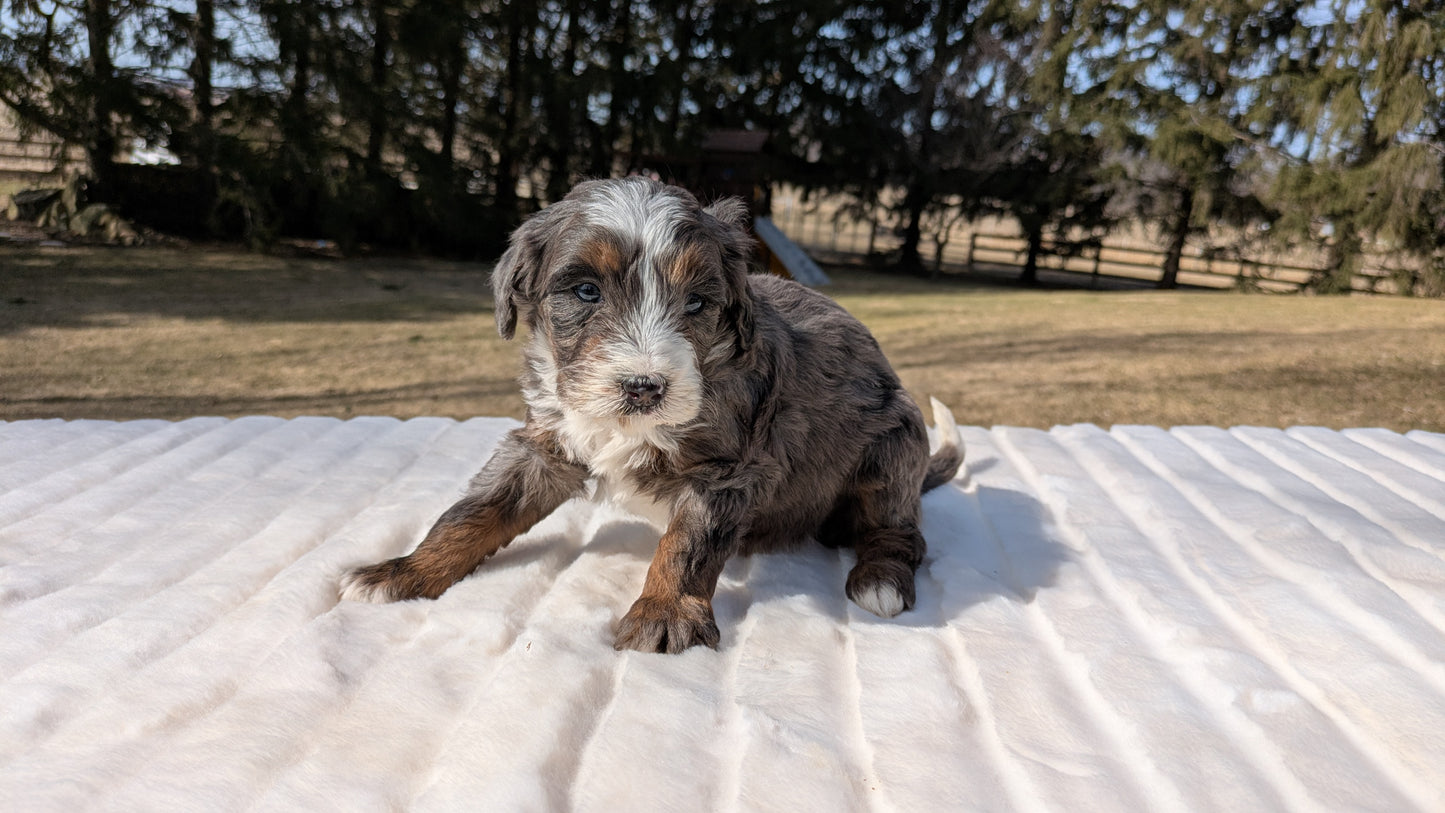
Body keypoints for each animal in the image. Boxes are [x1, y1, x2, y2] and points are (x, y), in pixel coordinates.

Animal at [342, 178, 965, 655]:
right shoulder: (547, 444)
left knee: (899, 530)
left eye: (696, 302)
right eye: (586, 291)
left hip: (894, 446)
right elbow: (475, 511)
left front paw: (662, 613)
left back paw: (880, 579)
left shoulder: (725, 468)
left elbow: (687, 543)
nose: (644, 387)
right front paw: (402, 572)